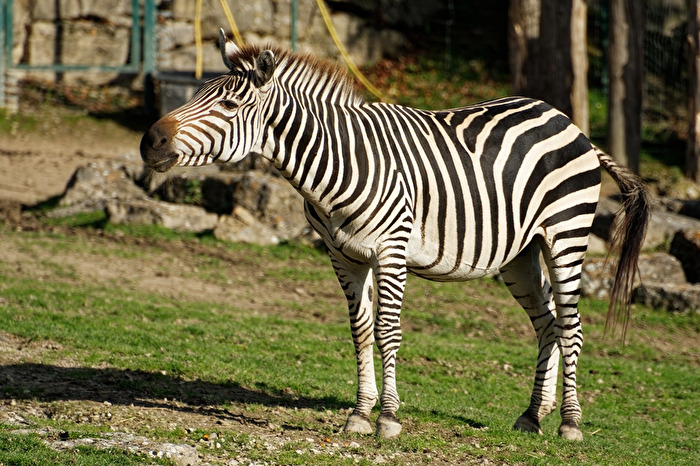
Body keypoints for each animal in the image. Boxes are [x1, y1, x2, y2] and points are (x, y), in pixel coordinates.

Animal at [140, 31, 650, 440]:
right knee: (547, 324)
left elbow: (387, 330)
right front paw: (360, 415)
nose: (150, 141)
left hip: (566, 235)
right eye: (197, 92)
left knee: (570, 326)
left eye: (228, 105)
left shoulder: (391, 251)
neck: (337, 163)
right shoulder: (343, 256)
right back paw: (532, 416)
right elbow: (361, 331)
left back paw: (569, 423)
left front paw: (386, 418)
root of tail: (568, 121)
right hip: (520, 253)